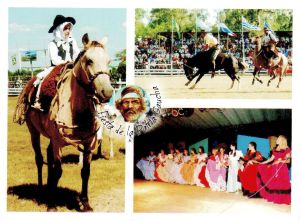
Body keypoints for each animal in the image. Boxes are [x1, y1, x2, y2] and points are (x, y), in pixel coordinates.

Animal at [12, 33, 113, 212]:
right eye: (89, 60)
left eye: (108, 61)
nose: (107, 92)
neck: (76, 110)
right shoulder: (58, 143)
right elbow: (58, 170)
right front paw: (52, 204)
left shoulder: (88, 144)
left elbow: (85, 171)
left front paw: (85, 203)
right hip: (33, 132)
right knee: (39, 159)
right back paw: (41, 190)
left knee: (48, 156)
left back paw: (49, 188)